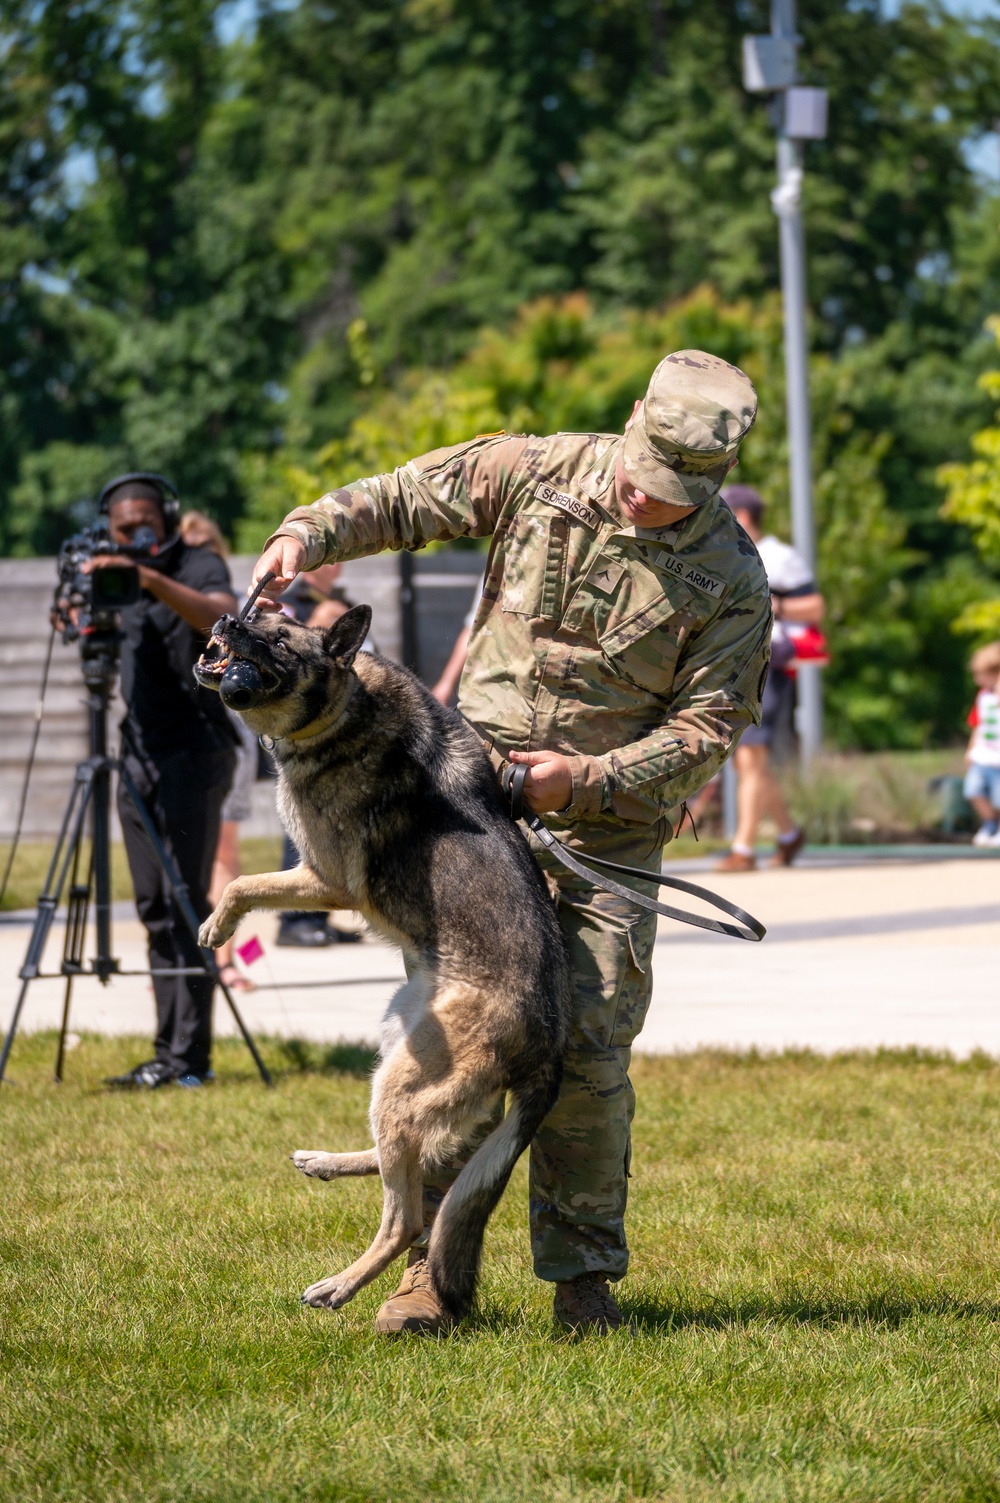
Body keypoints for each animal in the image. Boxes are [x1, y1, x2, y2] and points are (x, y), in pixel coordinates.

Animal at [195, 604, 568, 1322]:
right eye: (261, 615)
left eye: (280, 639)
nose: (228, 614)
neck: (348, 706)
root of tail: (548, 1045)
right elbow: (246, 883)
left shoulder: (324, 878)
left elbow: (243, 885)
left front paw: (215, 925)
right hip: (401, 1047)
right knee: (421, 1170)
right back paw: (326, 1163)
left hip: (400, 1082)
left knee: (408, 1218)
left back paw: (337, 1284)